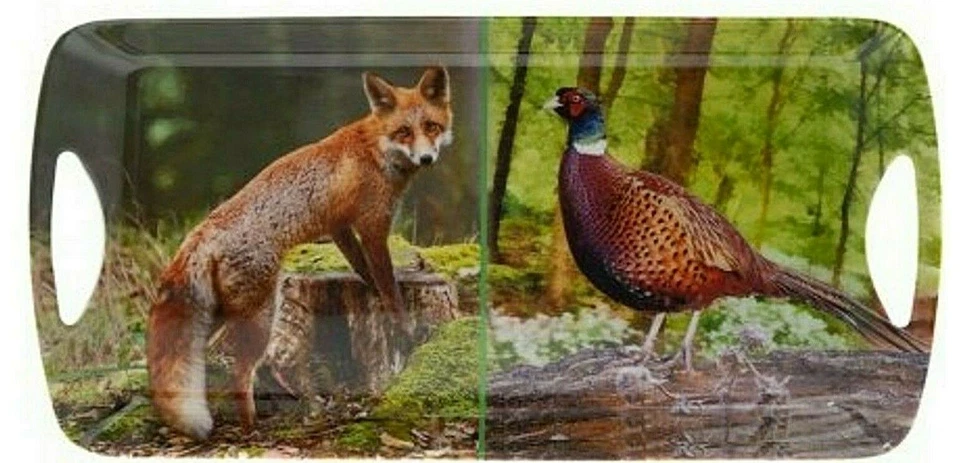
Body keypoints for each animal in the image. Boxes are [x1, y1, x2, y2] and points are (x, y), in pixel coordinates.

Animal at [147, 66, 453, 440]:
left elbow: (363, 269)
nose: (427, 158)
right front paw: (404, 325)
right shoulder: (372, 226)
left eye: (432, 127)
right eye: (404, 132)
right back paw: (252, 428)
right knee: (239, 372)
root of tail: (203, 230)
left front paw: (371, 290)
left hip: (222, 314)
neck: (376, 150)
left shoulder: (340, 227)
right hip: (261, 317)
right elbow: (388, 284)